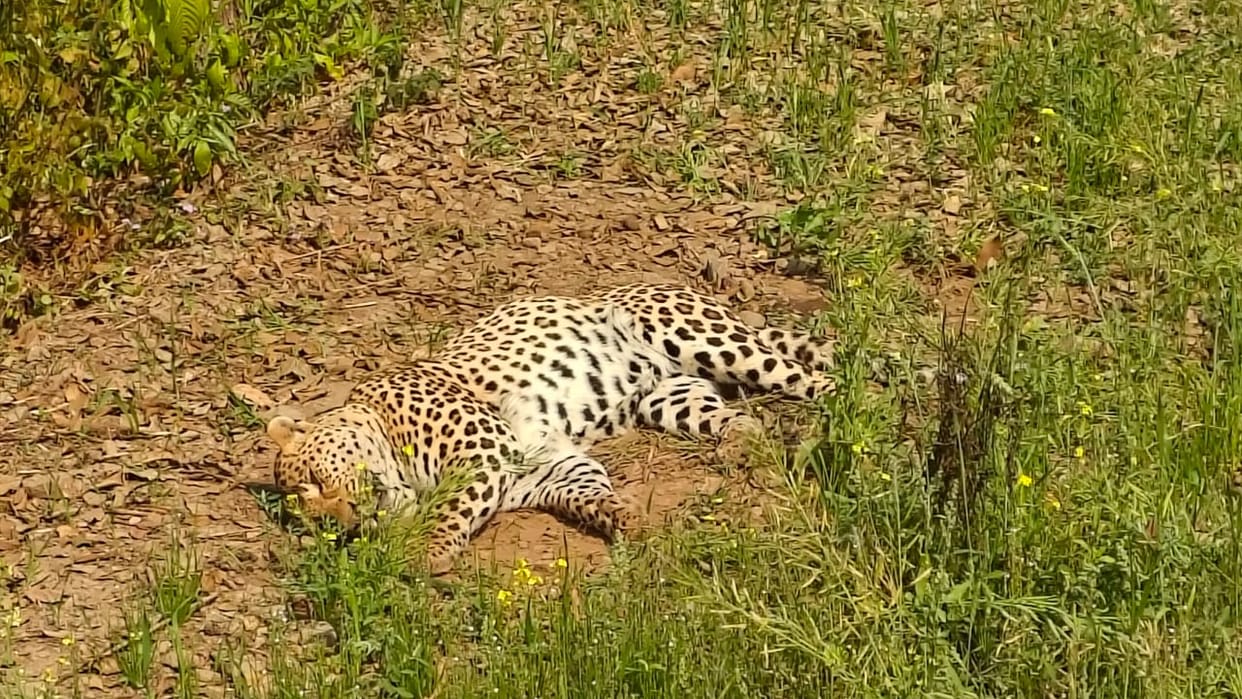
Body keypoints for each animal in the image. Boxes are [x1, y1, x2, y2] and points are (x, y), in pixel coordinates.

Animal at [264, 282, 835, 574]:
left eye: (313, 480)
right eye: (317, 523)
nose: (345, 520)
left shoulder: (483, 448)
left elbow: (451, 506)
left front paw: (428, 551)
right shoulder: (551, 468)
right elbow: (590, 496)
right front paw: (628, 518)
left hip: (696, 334)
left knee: (807, 377)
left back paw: (846, 408)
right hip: (671, 398)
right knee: (737, 413)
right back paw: (742, 445)